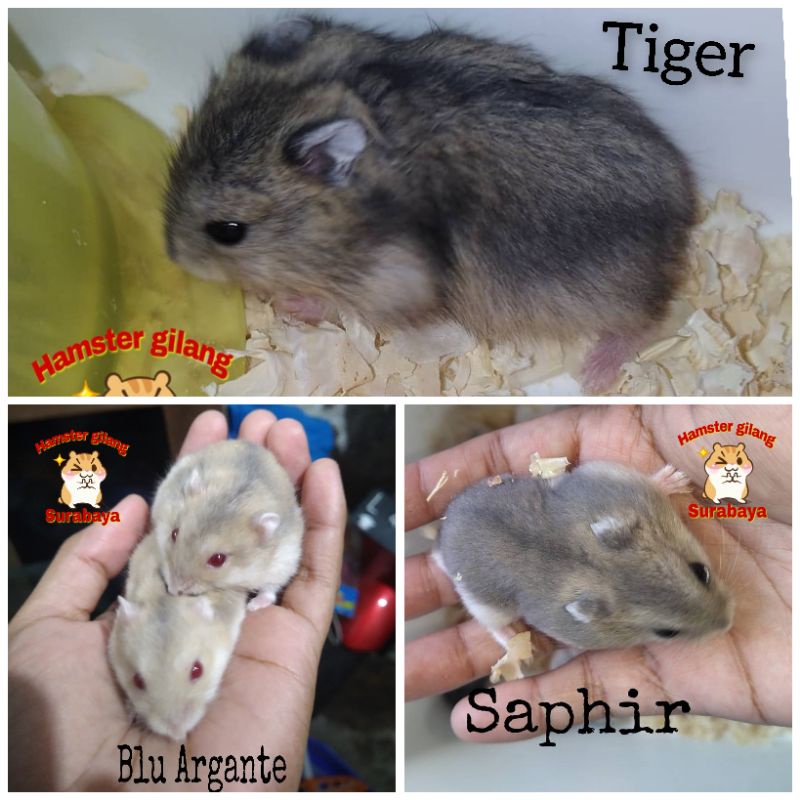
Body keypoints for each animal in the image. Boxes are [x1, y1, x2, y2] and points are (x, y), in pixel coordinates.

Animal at [150, 439, 304, 611]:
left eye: (218, 560)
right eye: (174, 533)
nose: (173, 590)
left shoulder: (281, 563)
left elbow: (269, 590)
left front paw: (252, 607)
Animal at [164, 16, 697, 389]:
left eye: (228, 232)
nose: (172, 255)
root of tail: (685, 211)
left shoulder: (395, 283)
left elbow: (336, 304)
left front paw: (287, 303)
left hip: (615, 297)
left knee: (654, 318)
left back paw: (596, 373)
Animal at [436, 461, 733, 652]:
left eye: (701, 571)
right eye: (667, 633)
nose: (729, 623)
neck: (600, 569)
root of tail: (442, 532)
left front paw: (677, 478)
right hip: (485, 605)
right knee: (492, 626)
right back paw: (516, 639)